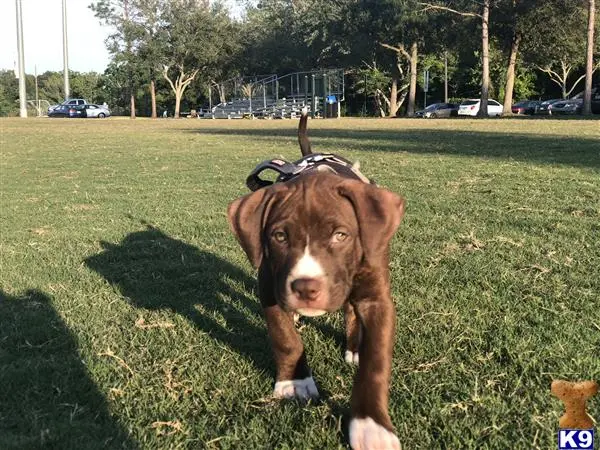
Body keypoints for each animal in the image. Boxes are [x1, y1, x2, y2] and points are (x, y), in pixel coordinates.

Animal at [227, 112, 406, 450]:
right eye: (279, 237)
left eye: (341, 235)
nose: (305, 288)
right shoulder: (270, 287)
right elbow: (284, 338)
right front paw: (294, 382)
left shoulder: (377, 299)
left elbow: (375, 362)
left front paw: (371, 425)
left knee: (351, 312)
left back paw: (354, 347)